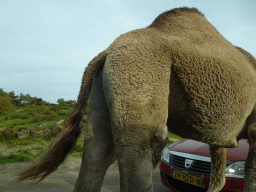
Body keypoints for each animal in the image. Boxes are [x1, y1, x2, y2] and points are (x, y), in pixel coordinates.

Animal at [11, 6, 256, 191]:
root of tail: (107, 50)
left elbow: (219, 174)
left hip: (106, 83)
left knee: (97, 147)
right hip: (139, 70)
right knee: (144, 145)